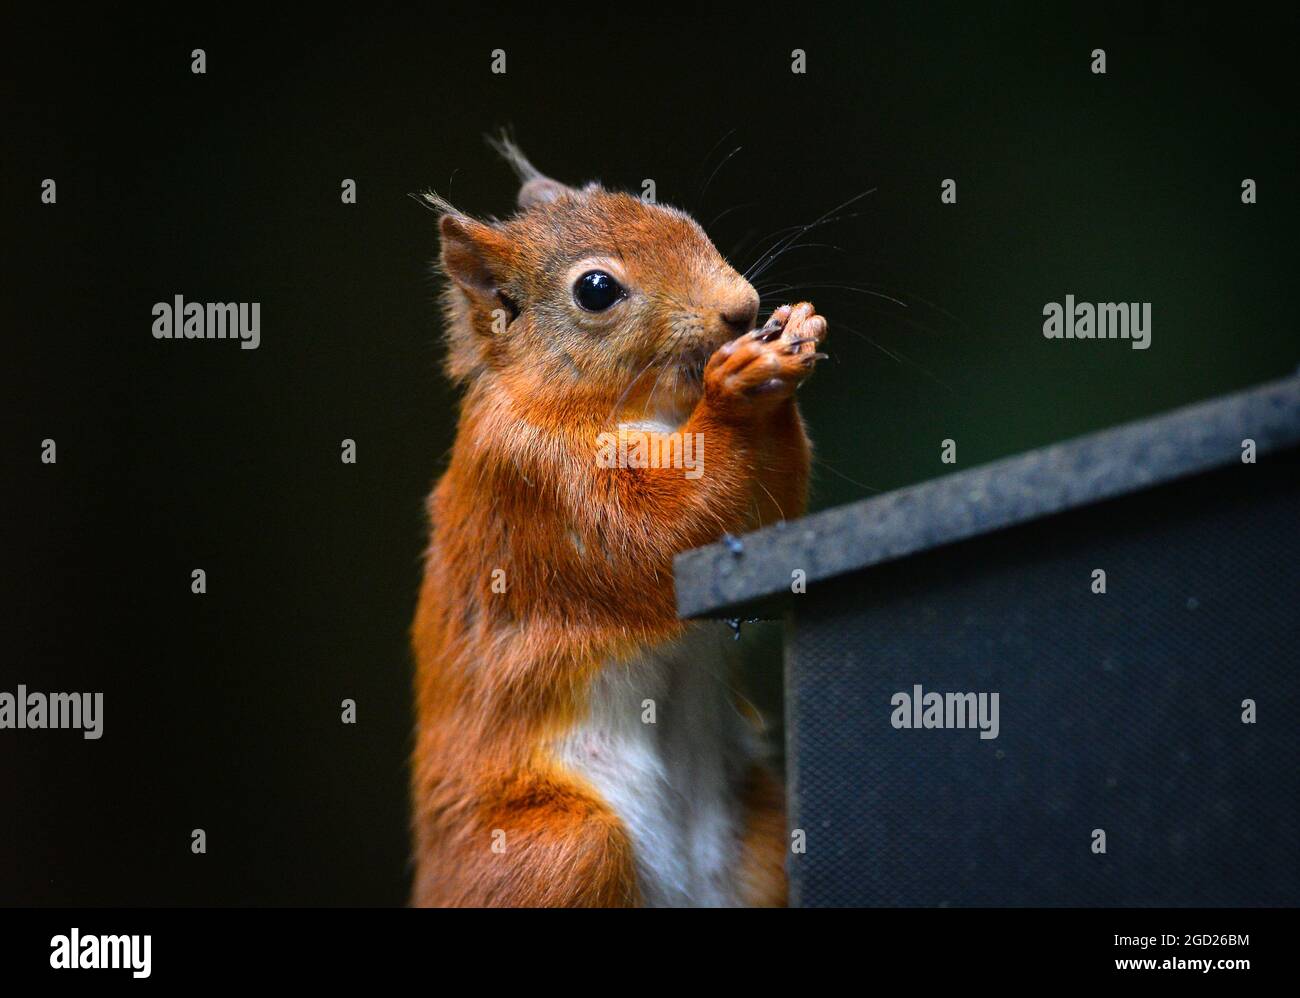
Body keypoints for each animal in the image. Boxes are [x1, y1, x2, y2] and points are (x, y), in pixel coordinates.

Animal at [410, 140, 826, 904]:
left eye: (683, 218)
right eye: (596, 290)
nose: (743, 308)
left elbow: (766, 517)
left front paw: (793, 336)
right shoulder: (537, 479)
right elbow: (653, 538)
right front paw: (737, 390)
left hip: (757, 842)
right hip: (561, 850)